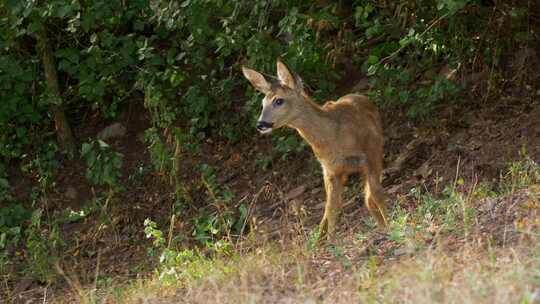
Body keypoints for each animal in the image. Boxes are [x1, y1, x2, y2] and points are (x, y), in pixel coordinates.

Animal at [243, 59, 390, 240]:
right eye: (262, 103)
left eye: (279, 100)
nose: (261, 124)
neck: (335, 136)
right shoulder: (330, 170)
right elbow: (332, 207)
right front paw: (332, 240)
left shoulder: (370, 154)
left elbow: (376, 194)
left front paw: (391, 225)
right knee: (335, 205)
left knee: (368, 198)